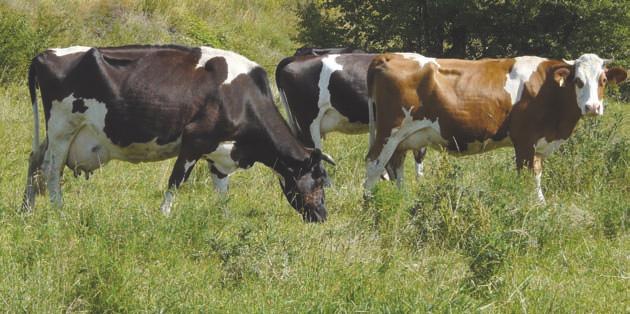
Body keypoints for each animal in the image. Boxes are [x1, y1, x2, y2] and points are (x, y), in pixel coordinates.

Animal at [23, 44, 336, 221]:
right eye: (319, 181)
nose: (322, 215)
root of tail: (45, 54)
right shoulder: (195, 140)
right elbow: (176, 181)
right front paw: (164, 217)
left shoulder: (220, 153)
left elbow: (222, 191)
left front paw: (226, 220)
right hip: (62, 129)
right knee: (51, 171)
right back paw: (59, 213)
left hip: (56, 134)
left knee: (34, 160)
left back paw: (26, 211)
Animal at [366, 52, 628, 201]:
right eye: (578, 81)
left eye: (603, 80)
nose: (592, 107)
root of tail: (388, 55)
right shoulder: (525, 142)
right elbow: (527, 179)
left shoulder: (539, 145)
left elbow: (537, 177)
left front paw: (541, 207)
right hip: (389, 132)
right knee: (373, 165)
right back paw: (369, 206)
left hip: (402, 139)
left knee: (395, 167)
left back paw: (403, 202)